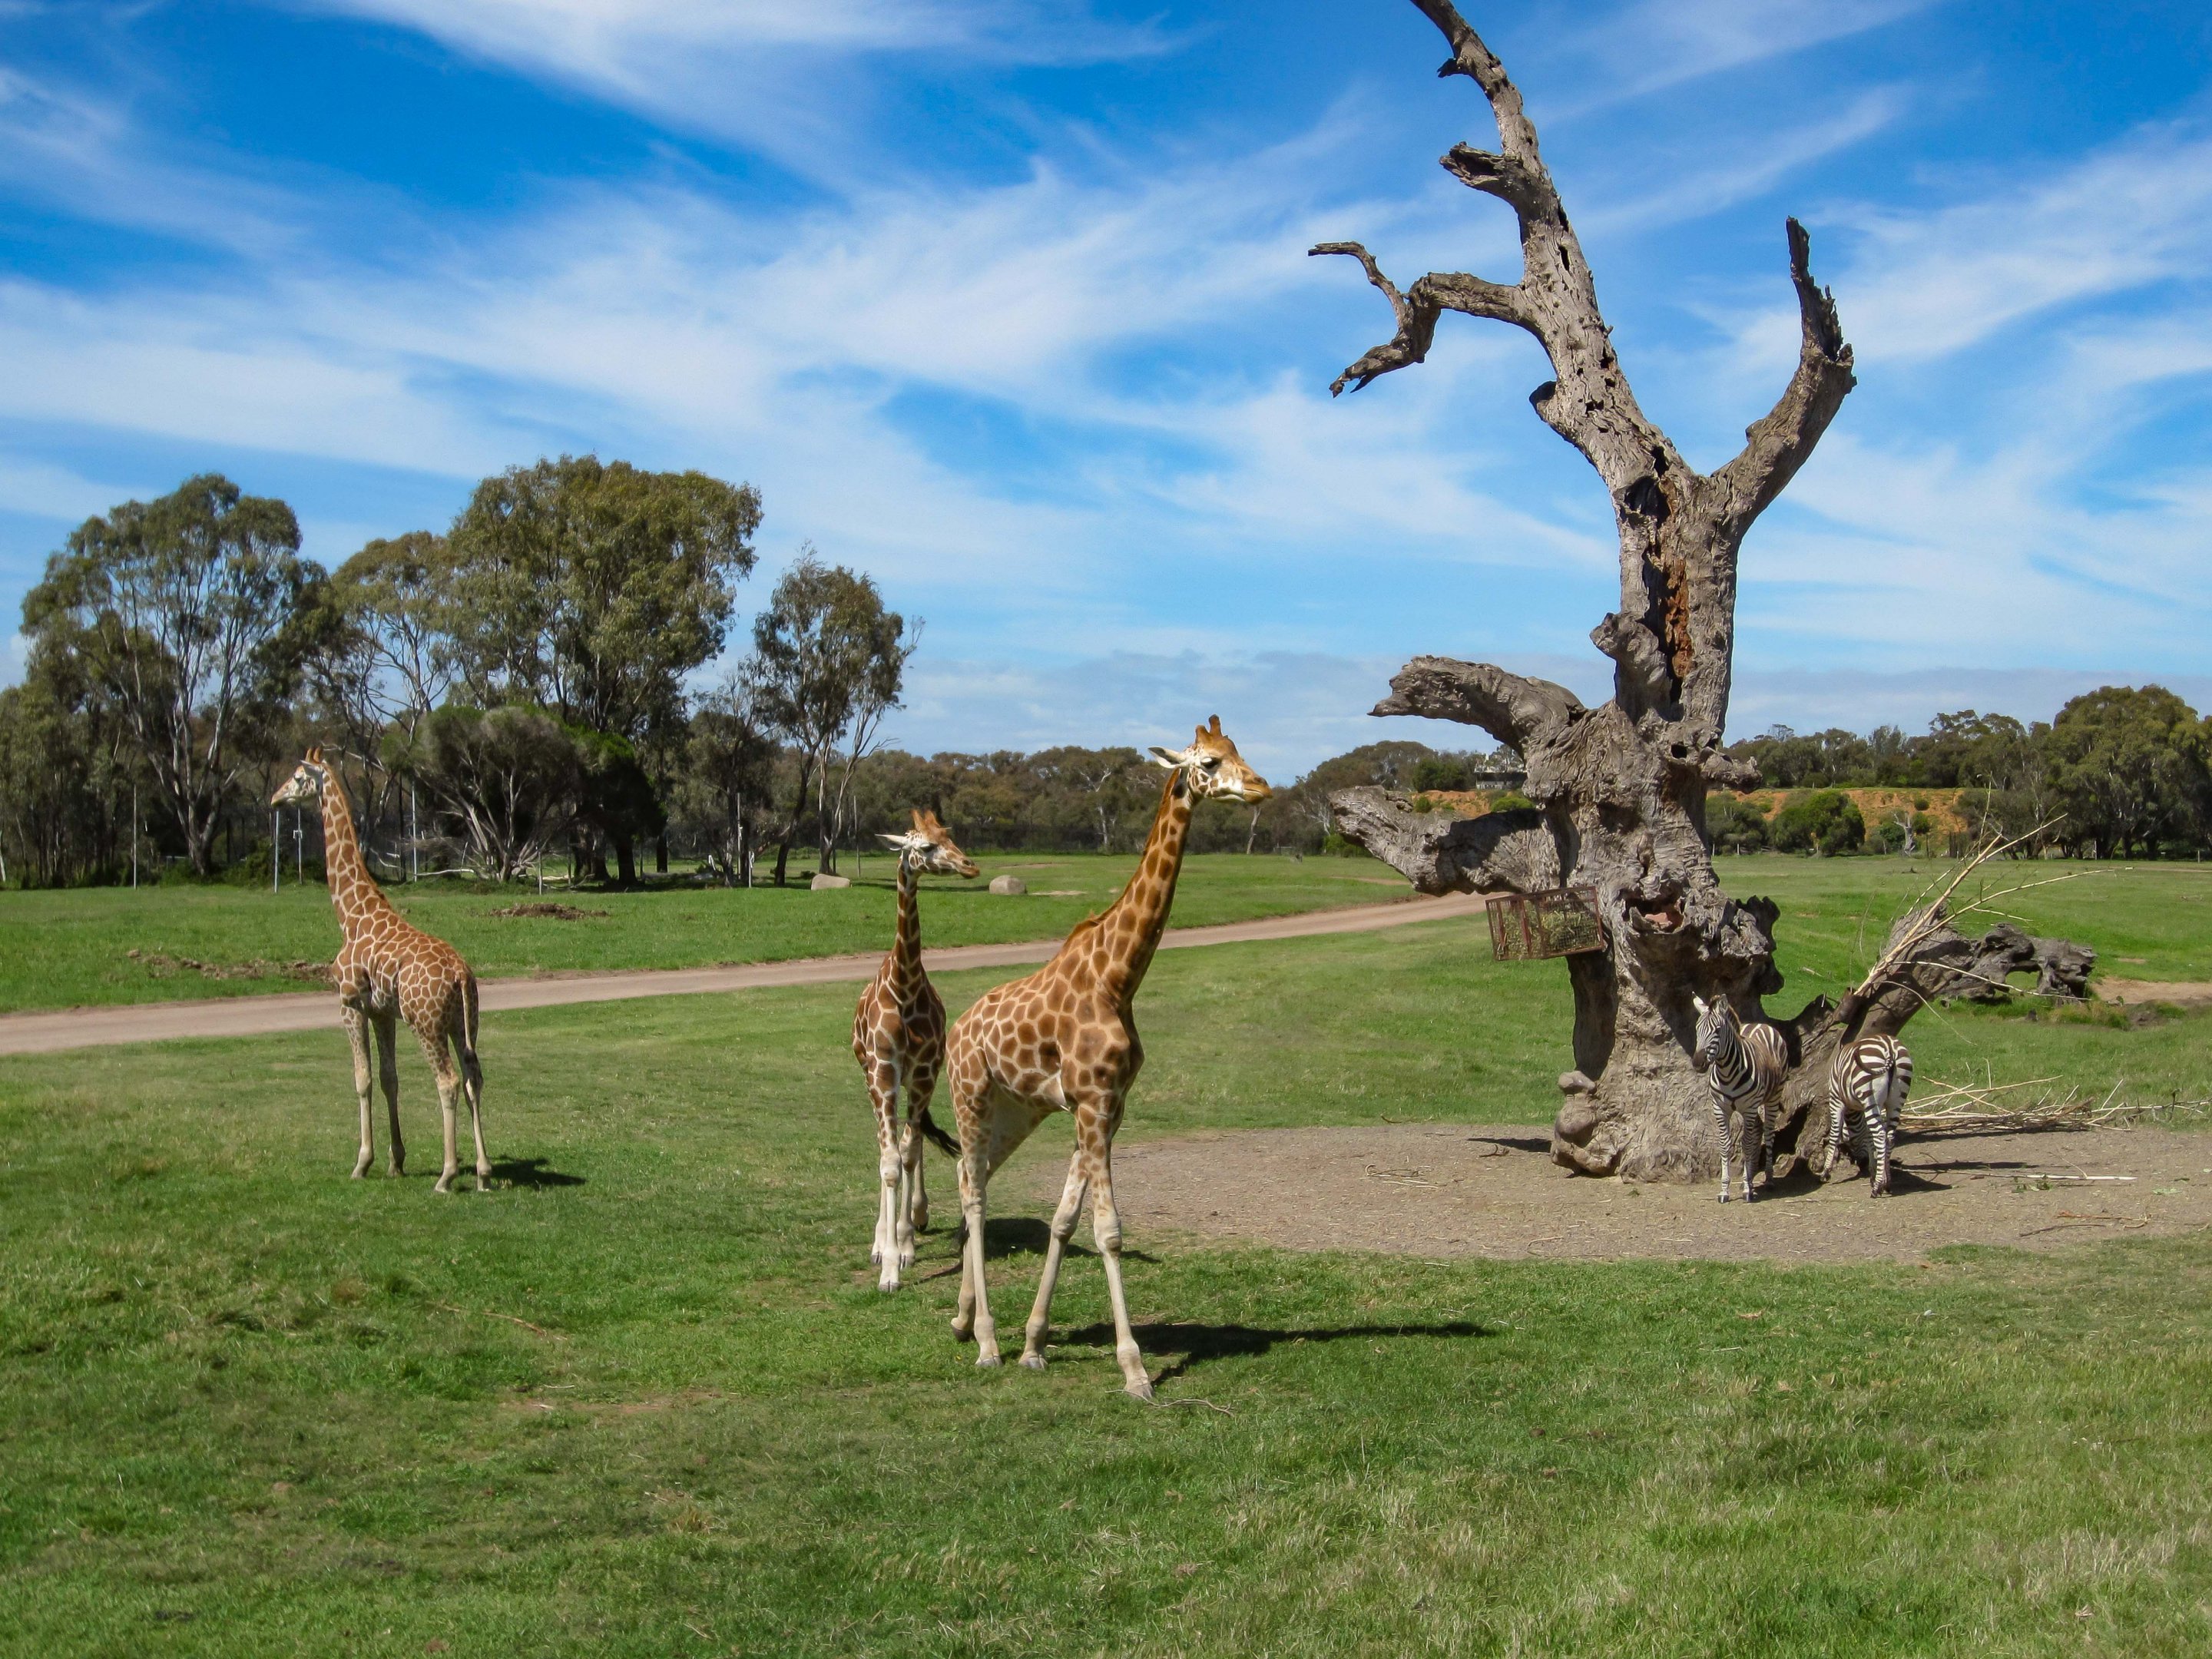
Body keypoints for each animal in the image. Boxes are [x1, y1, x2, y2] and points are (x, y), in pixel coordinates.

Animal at [271, 749, 490, 1193]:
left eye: (299, 777)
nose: (275, 799)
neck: (351, 917)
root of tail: (460, 975)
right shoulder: (382, 1013)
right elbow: (390, 1078)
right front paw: (396, 1162)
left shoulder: (349, 1003)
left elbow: (363, 1078)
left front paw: (362, 1162)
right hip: (464, 1024)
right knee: (473, 1078)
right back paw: (482, 1171)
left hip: (426, 1024)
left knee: (447, 1081)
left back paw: (447, 1175)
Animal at [852, 808, 979, 1291]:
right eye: (924, 847)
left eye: (950, 836)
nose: (970, 867)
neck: (904, 986)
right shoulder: (883, 1071)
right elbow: (890, 1160)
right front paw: (887, 1264)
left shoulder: (924, 1071)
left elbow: (908, 1152)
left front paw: (904, 1244)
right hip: (872, 1078)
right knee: (887, 1146)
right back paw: (879, 1240)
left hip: (915, 1082)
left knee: (916, 1138)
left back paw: (915, 1223)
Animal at [942, 716, 1270, 1399]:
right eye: (1207, 762)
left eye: (1239, 751)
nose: (1260, 788)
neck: (1118, 978)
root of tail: (957, 1030)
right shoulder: (1092, 1102)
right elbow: (1109, 1232)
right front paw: (1135, 1369)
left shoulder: (1107, 1105)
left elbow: (1067, 1220)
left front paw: (1035, 1345)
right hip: (971, 1094)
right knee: (975, 1193)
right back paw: (985, 1341)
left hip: (1016, 1111)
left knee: (969, 1175)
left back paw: (963, 1321)